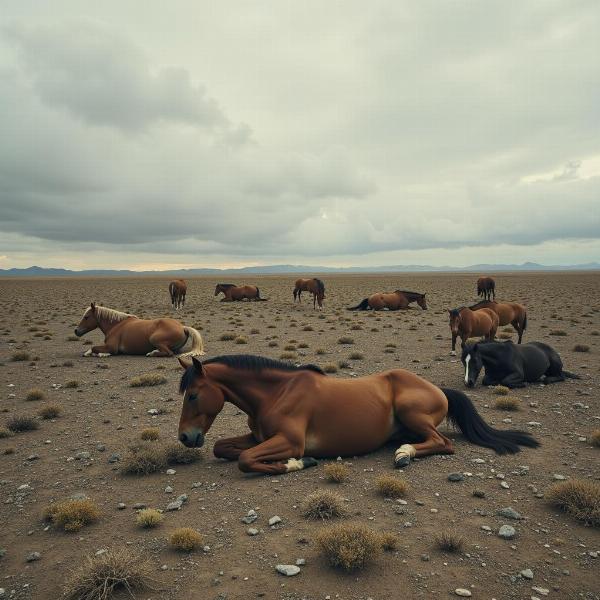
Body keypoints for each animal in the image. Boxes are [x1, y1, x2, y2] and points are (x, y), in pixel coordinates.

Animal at [74, 302, 205, 358]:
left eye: (86, 317)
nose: (76, 331)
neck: (116, 325)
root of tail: (182, 327)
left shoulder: (112, 347)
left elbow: (94, 348)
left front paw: (101, 354)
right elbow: (91, 348)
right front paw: (89, 353)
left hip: (154, 339)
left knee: (168, 353)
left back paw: (152, 353)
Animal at [177, 354, 540, 476]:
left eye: (193, 394)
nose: (185, 437)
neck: (276, 393)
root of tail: (437, 388)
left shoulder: (290, 441)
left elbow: (246, 460)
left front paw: (298, 464)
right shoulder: (258, 436)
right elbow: (224, 448)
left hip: (412, 413)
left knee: (443, 443)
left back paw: (404, 454)